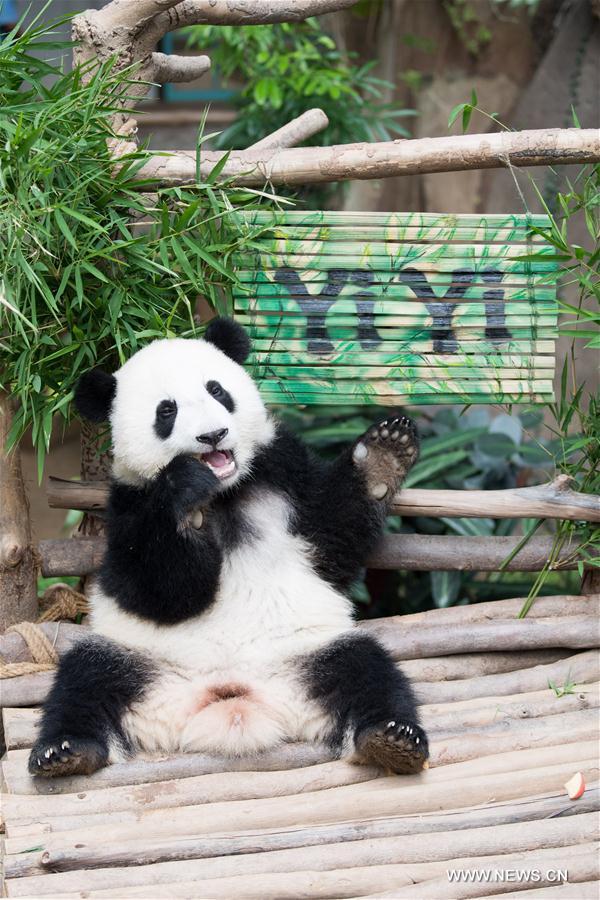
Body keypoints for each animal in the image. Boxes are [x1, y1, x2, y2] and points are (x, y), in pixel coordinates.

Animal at [29, 319, 429, 778]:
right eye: (166, 412)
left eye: (217, 390)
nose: (212, 435)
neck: (223, 492)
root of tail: (238, 703)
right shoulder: (129, 503)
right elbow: (158, 592)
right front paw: (186, 498)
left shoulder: (282, 469)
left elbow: (332, 540)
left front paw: (384, 454)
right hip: (140, 662)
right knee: (85, 679)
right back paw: (65, 751)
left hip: (308, 655)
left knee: (366, 670)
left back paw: (391, 738)